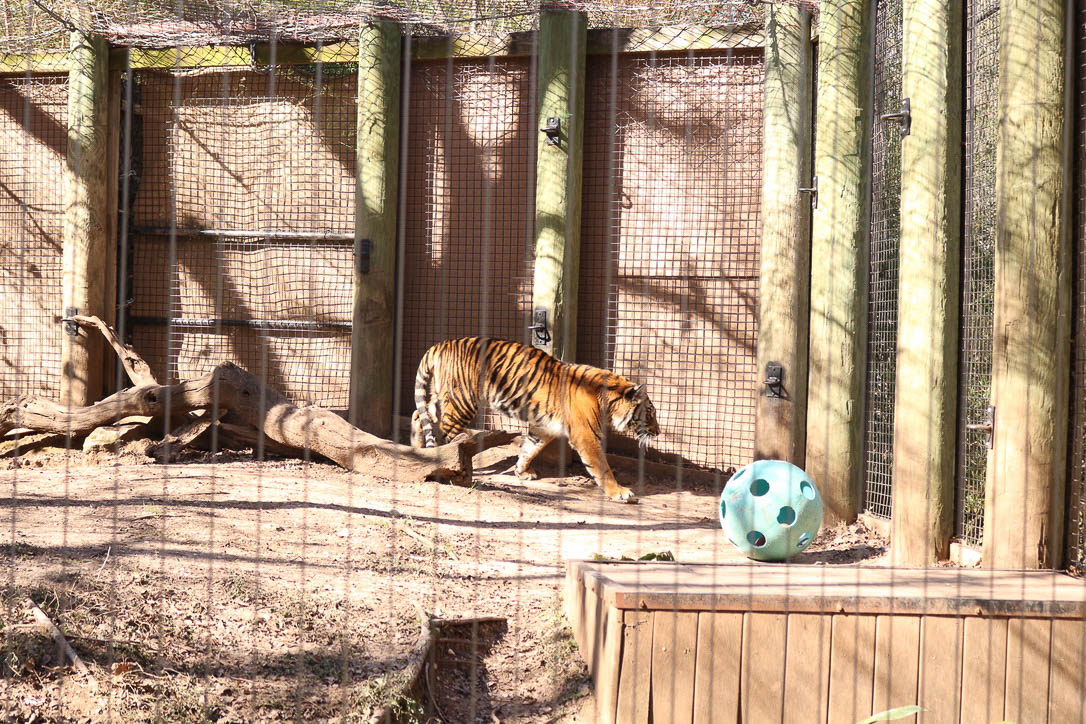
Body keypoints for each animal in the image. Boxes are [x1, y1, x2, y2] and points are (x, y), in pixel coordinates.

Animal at [408, 336, 655, 501]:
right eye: (650, 414)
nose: (659, 432)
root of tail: (442, 344)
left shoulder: (543, 428)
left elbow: (530, 449)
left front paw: (522, 471)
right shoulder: (586, 437)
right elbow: (602, 467)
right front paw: (620, 492)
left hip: (443, 397)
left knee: (419, 414)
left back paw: (417, 449)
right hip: (462, 402)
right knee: (445, 435)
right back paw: (448, 464)